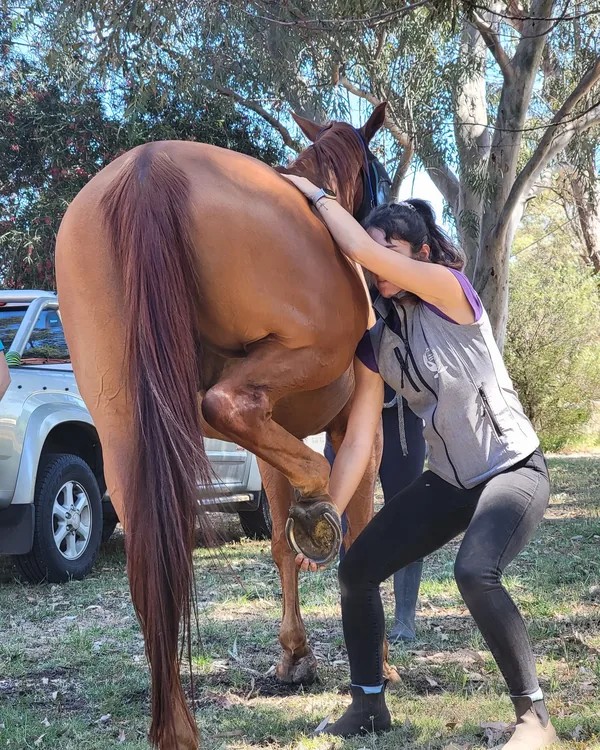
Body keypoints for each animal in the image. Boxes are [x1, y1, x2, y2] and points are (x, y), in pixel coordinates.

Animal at [55, 102, 394, 750]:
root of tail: (148, 168)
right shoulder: (355, 435)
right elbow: (360, 539)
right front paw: (379, 662)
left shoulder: (272, 449)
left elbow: (279, 547)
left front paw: (295, 657)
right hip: (300, 358)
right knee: (227, 404)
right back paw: (318, 501)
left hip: (125, 430)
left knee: (151, 565)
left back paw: (176, 726)